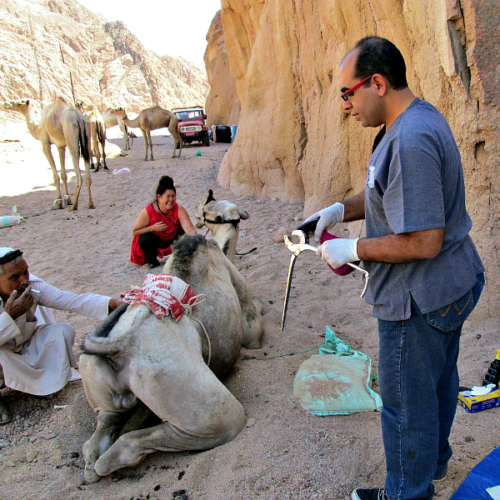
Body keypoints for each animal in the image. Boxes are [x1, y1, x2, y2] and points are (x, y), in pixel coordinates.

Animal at [80, 236, 264, 482]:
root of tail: (121, 343)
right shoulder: (249, 324)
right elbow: (255, 319)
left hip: (100, 391)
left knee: (96, 444)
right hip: (210, 409)